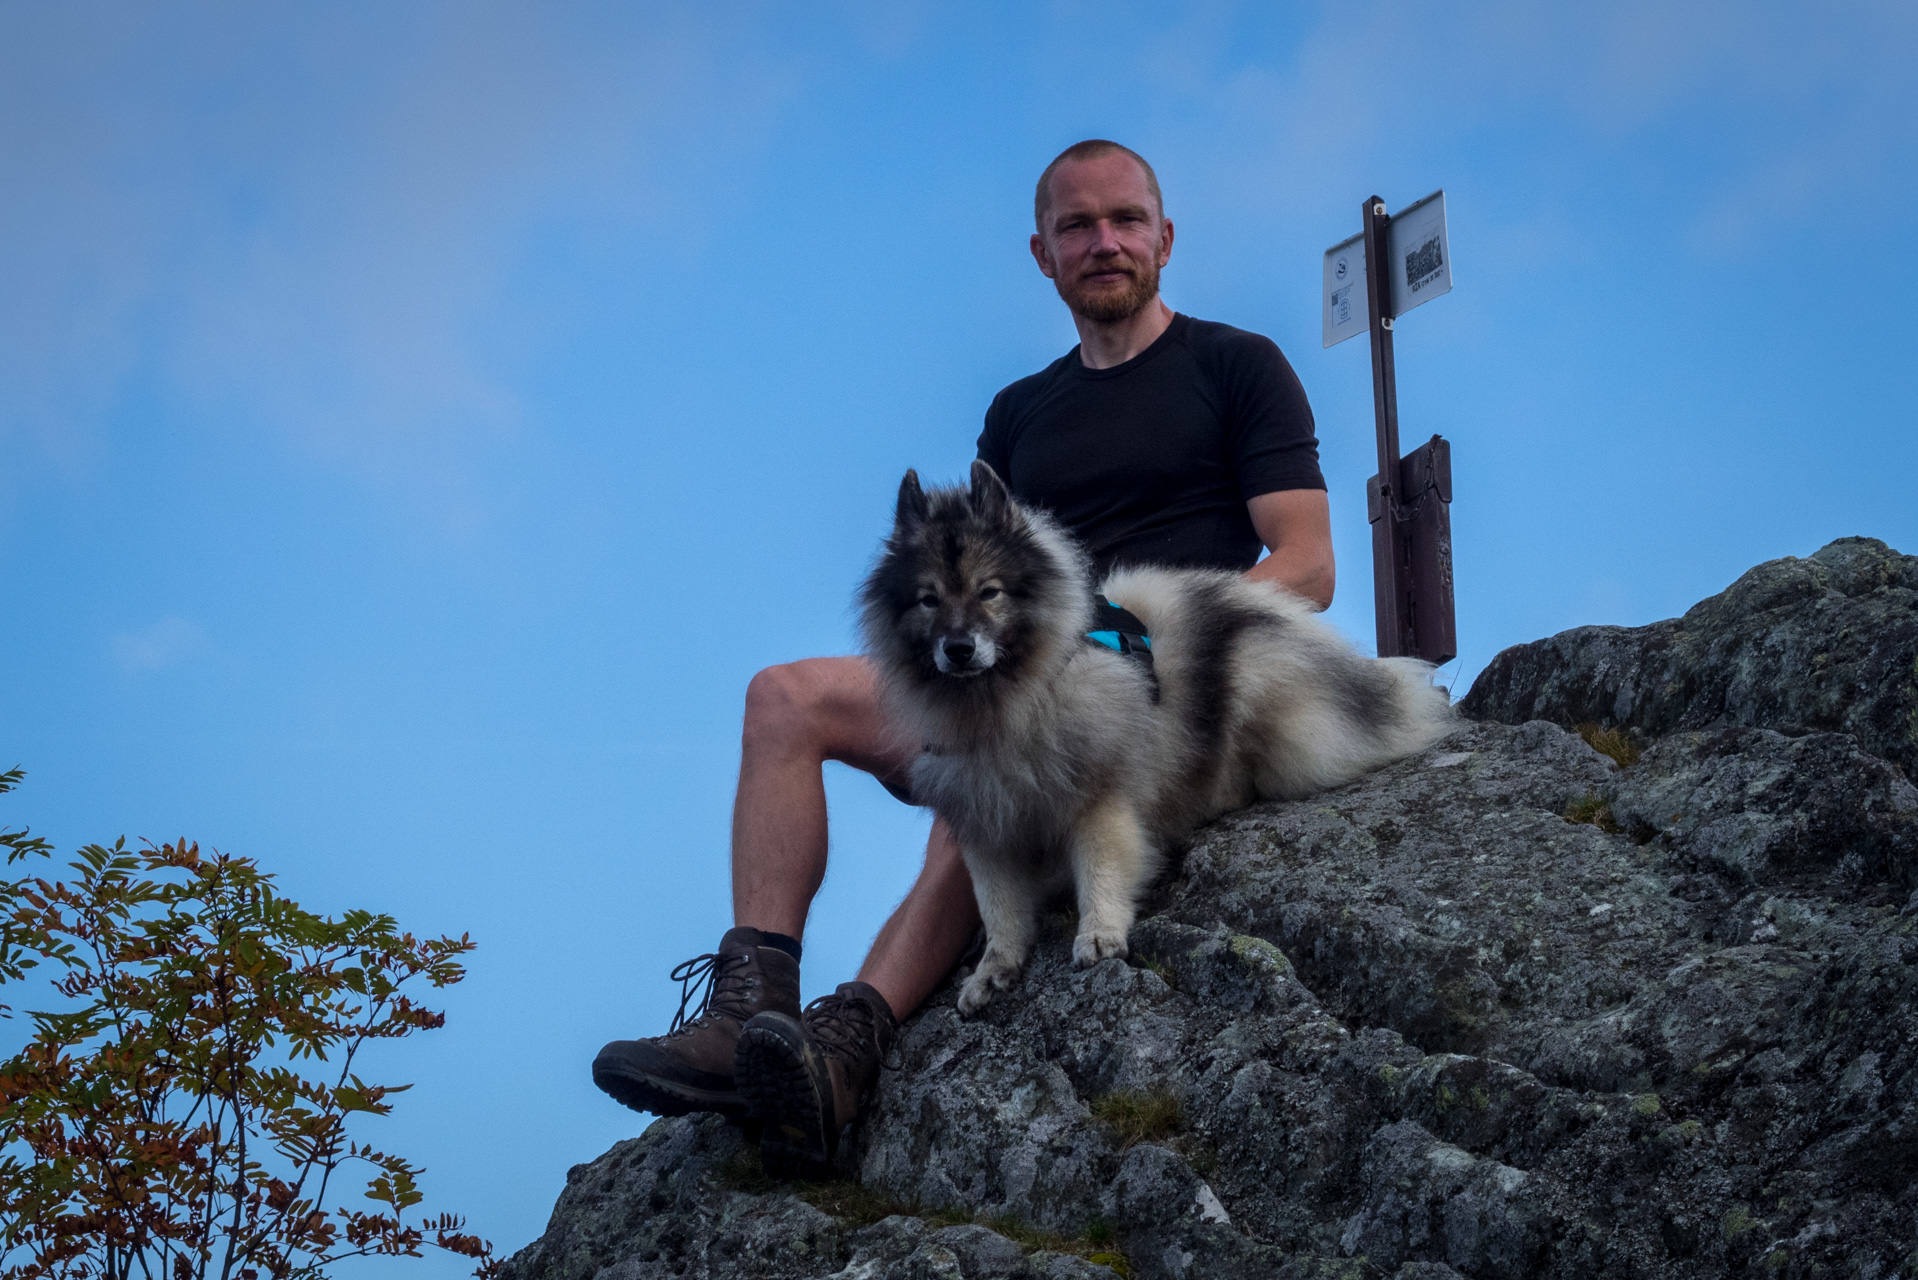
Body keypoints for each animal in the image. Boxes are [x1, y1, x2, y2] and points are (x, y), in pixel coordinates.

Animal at [863, 466, 1442, 1013]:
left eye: (989, 591)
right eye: (928, 600)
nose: (958, 649)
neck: (1004, 708)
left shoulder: (1098, 798)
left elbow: (1101, 869)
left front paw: (1099, 934)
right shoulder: (986, 823)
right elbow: (999, 907)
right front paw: (992, 969)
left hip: (1261, 685)